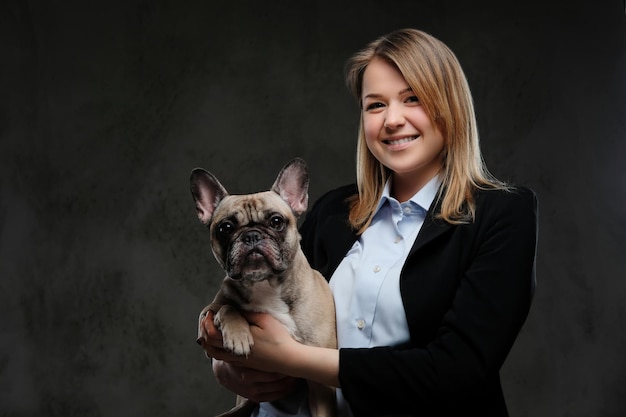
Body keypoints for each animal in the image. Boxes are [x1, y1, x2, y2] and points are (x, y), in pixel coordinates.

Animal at [190, 157, 336, 416]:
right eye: (225, 228)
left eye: (276, 221)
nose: (251, 235)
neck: (265, 285)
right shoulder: (205, 319)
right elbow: (228, 308)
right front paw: (238, 336)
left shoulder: (321, 382)